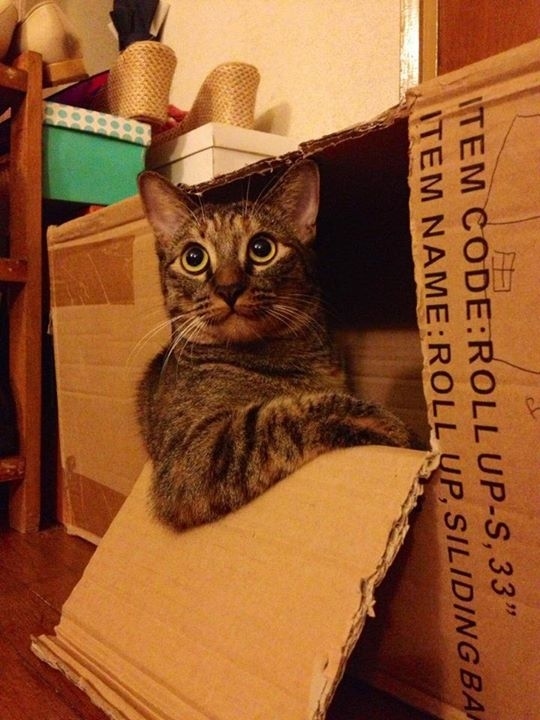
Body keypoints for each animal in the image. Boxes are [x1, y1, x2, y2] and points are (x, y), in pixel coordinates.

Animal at [137, 160, 416, 528]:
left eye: (261, 248)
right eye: (194, 257)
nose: (228, 288)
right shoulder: (188, 457)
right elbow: (274, 416)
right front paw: (382, 423)